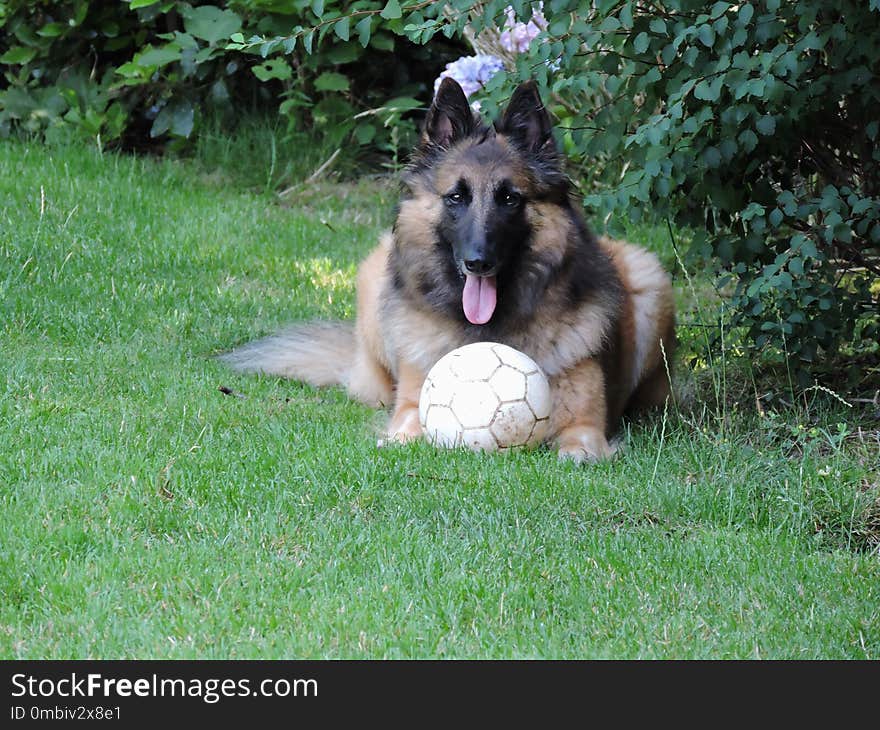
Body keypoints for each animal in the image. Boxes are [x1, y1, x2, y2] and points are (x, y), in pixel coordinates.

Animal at [223, 75, 676, 460]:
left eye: (510, 198)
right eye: (456, 197)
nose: (478, 262)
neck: (487, 329)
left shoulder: (586, 421)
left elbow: (580, 444)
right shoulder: (411, 400)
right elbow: (407, 424)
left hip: (647, 273)